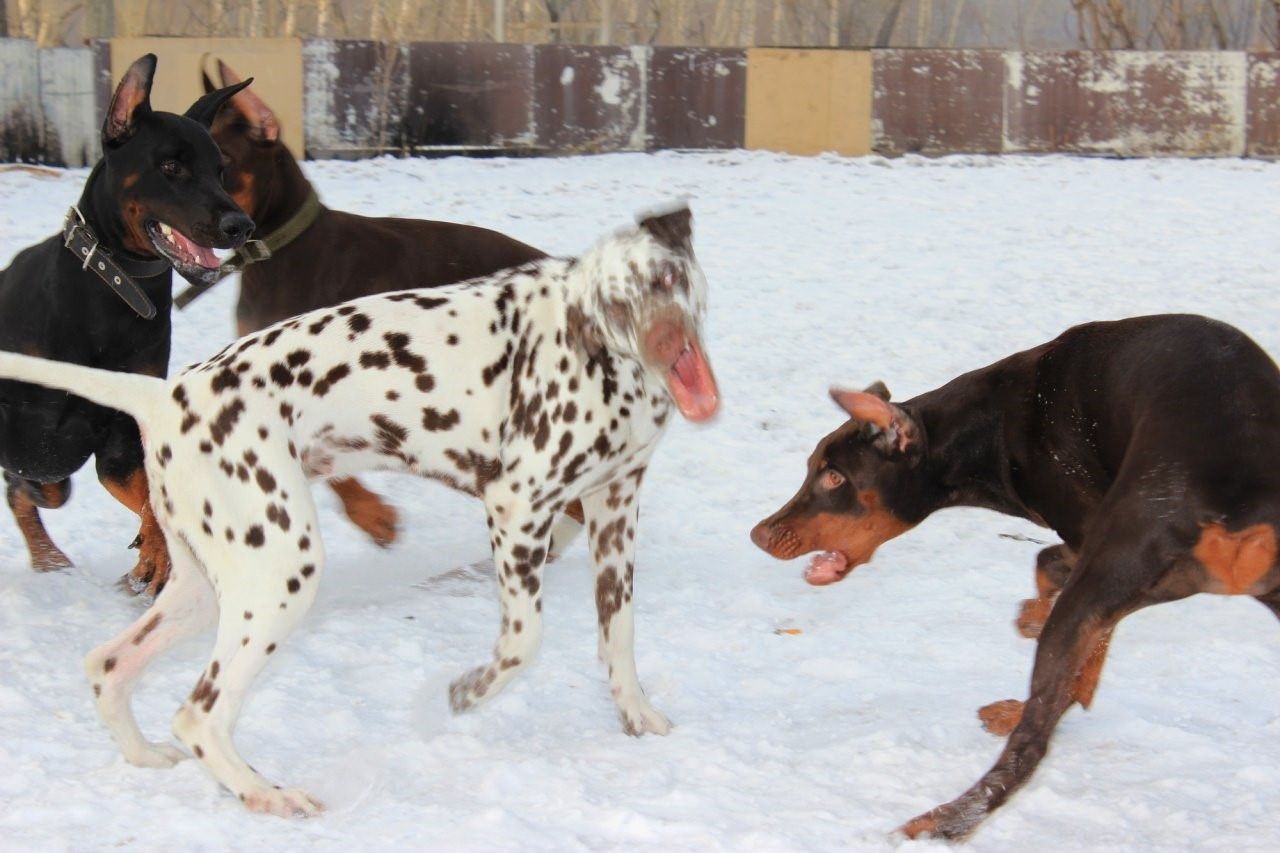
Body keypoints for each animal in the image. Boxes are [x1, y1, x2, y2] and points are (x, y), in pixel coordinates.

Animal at [0, 204, 721, 809]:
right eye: (616, 303)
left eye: (666, 278)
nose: (666, 342)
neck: (598, 351)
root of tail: (168, 393)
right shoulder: (517, 509)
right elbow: (522, 642)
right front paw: (463, 693)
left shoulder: (614, 510)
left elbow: (618, 638)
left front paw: (636, 715)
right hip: (279, 574)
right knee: (199, 712)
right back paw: (267, 795)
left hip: (206, 586)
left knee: (109, 666)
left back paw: (147, 756)